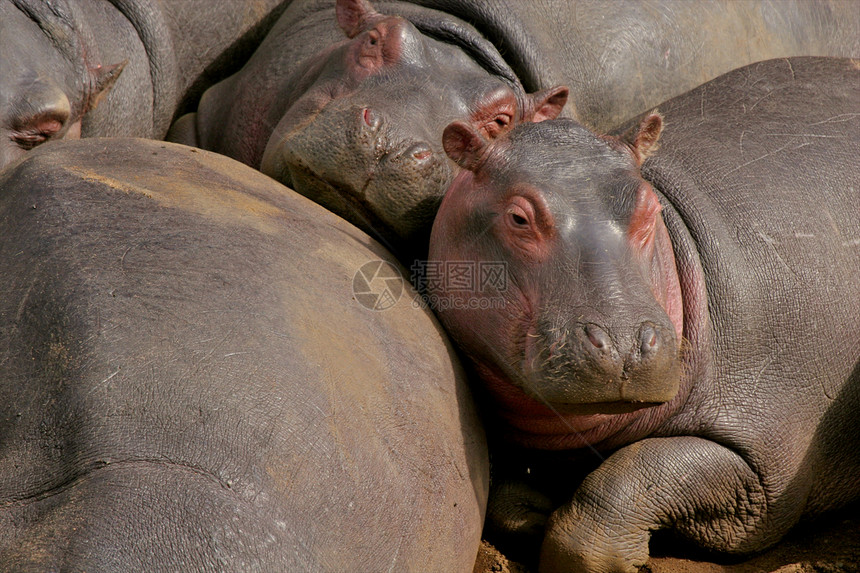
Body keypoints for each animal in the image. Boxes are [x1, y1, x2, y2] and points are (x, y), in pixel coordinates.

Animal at [428, 54, 860, 572]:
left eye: (651, 205)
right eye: (517, 217)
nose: (622, 345)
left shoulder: (766, 471)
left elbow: (630, 476)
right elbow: (505, 496)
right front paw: (536, 515)